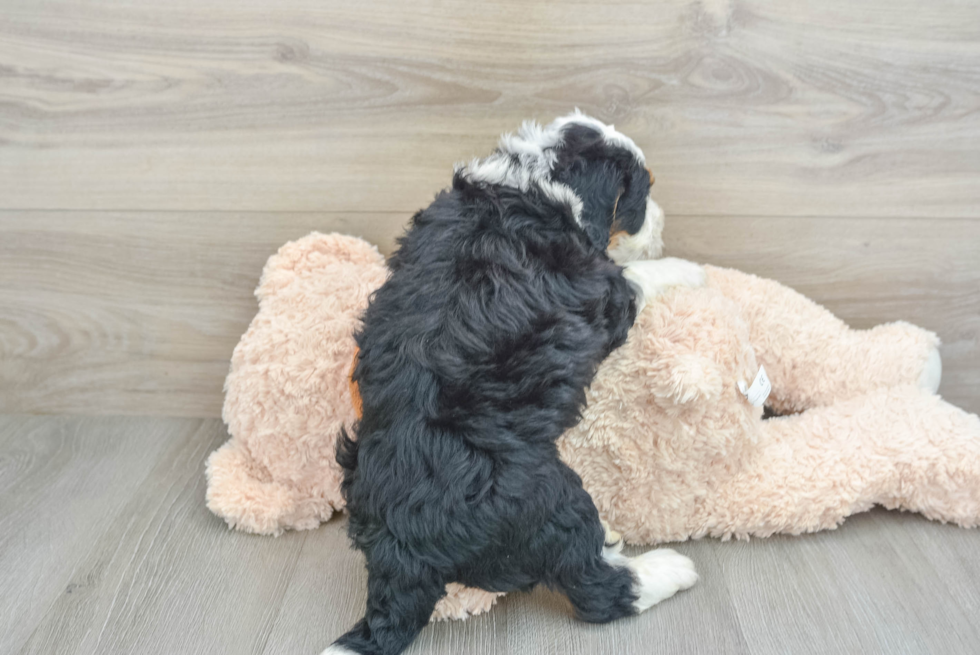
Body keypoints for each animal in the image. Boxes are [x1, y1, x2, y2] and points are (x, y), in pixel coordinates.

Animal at [328, 111, 704, 655]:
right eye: (641, 195)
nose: (661, 224)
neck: (536, 181)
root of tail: (401, 552)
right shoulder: (604, 291)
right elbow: (638, 276)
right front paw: (688, 269)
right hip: (548, 500)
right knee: (594, 585)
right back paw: (666, 569)